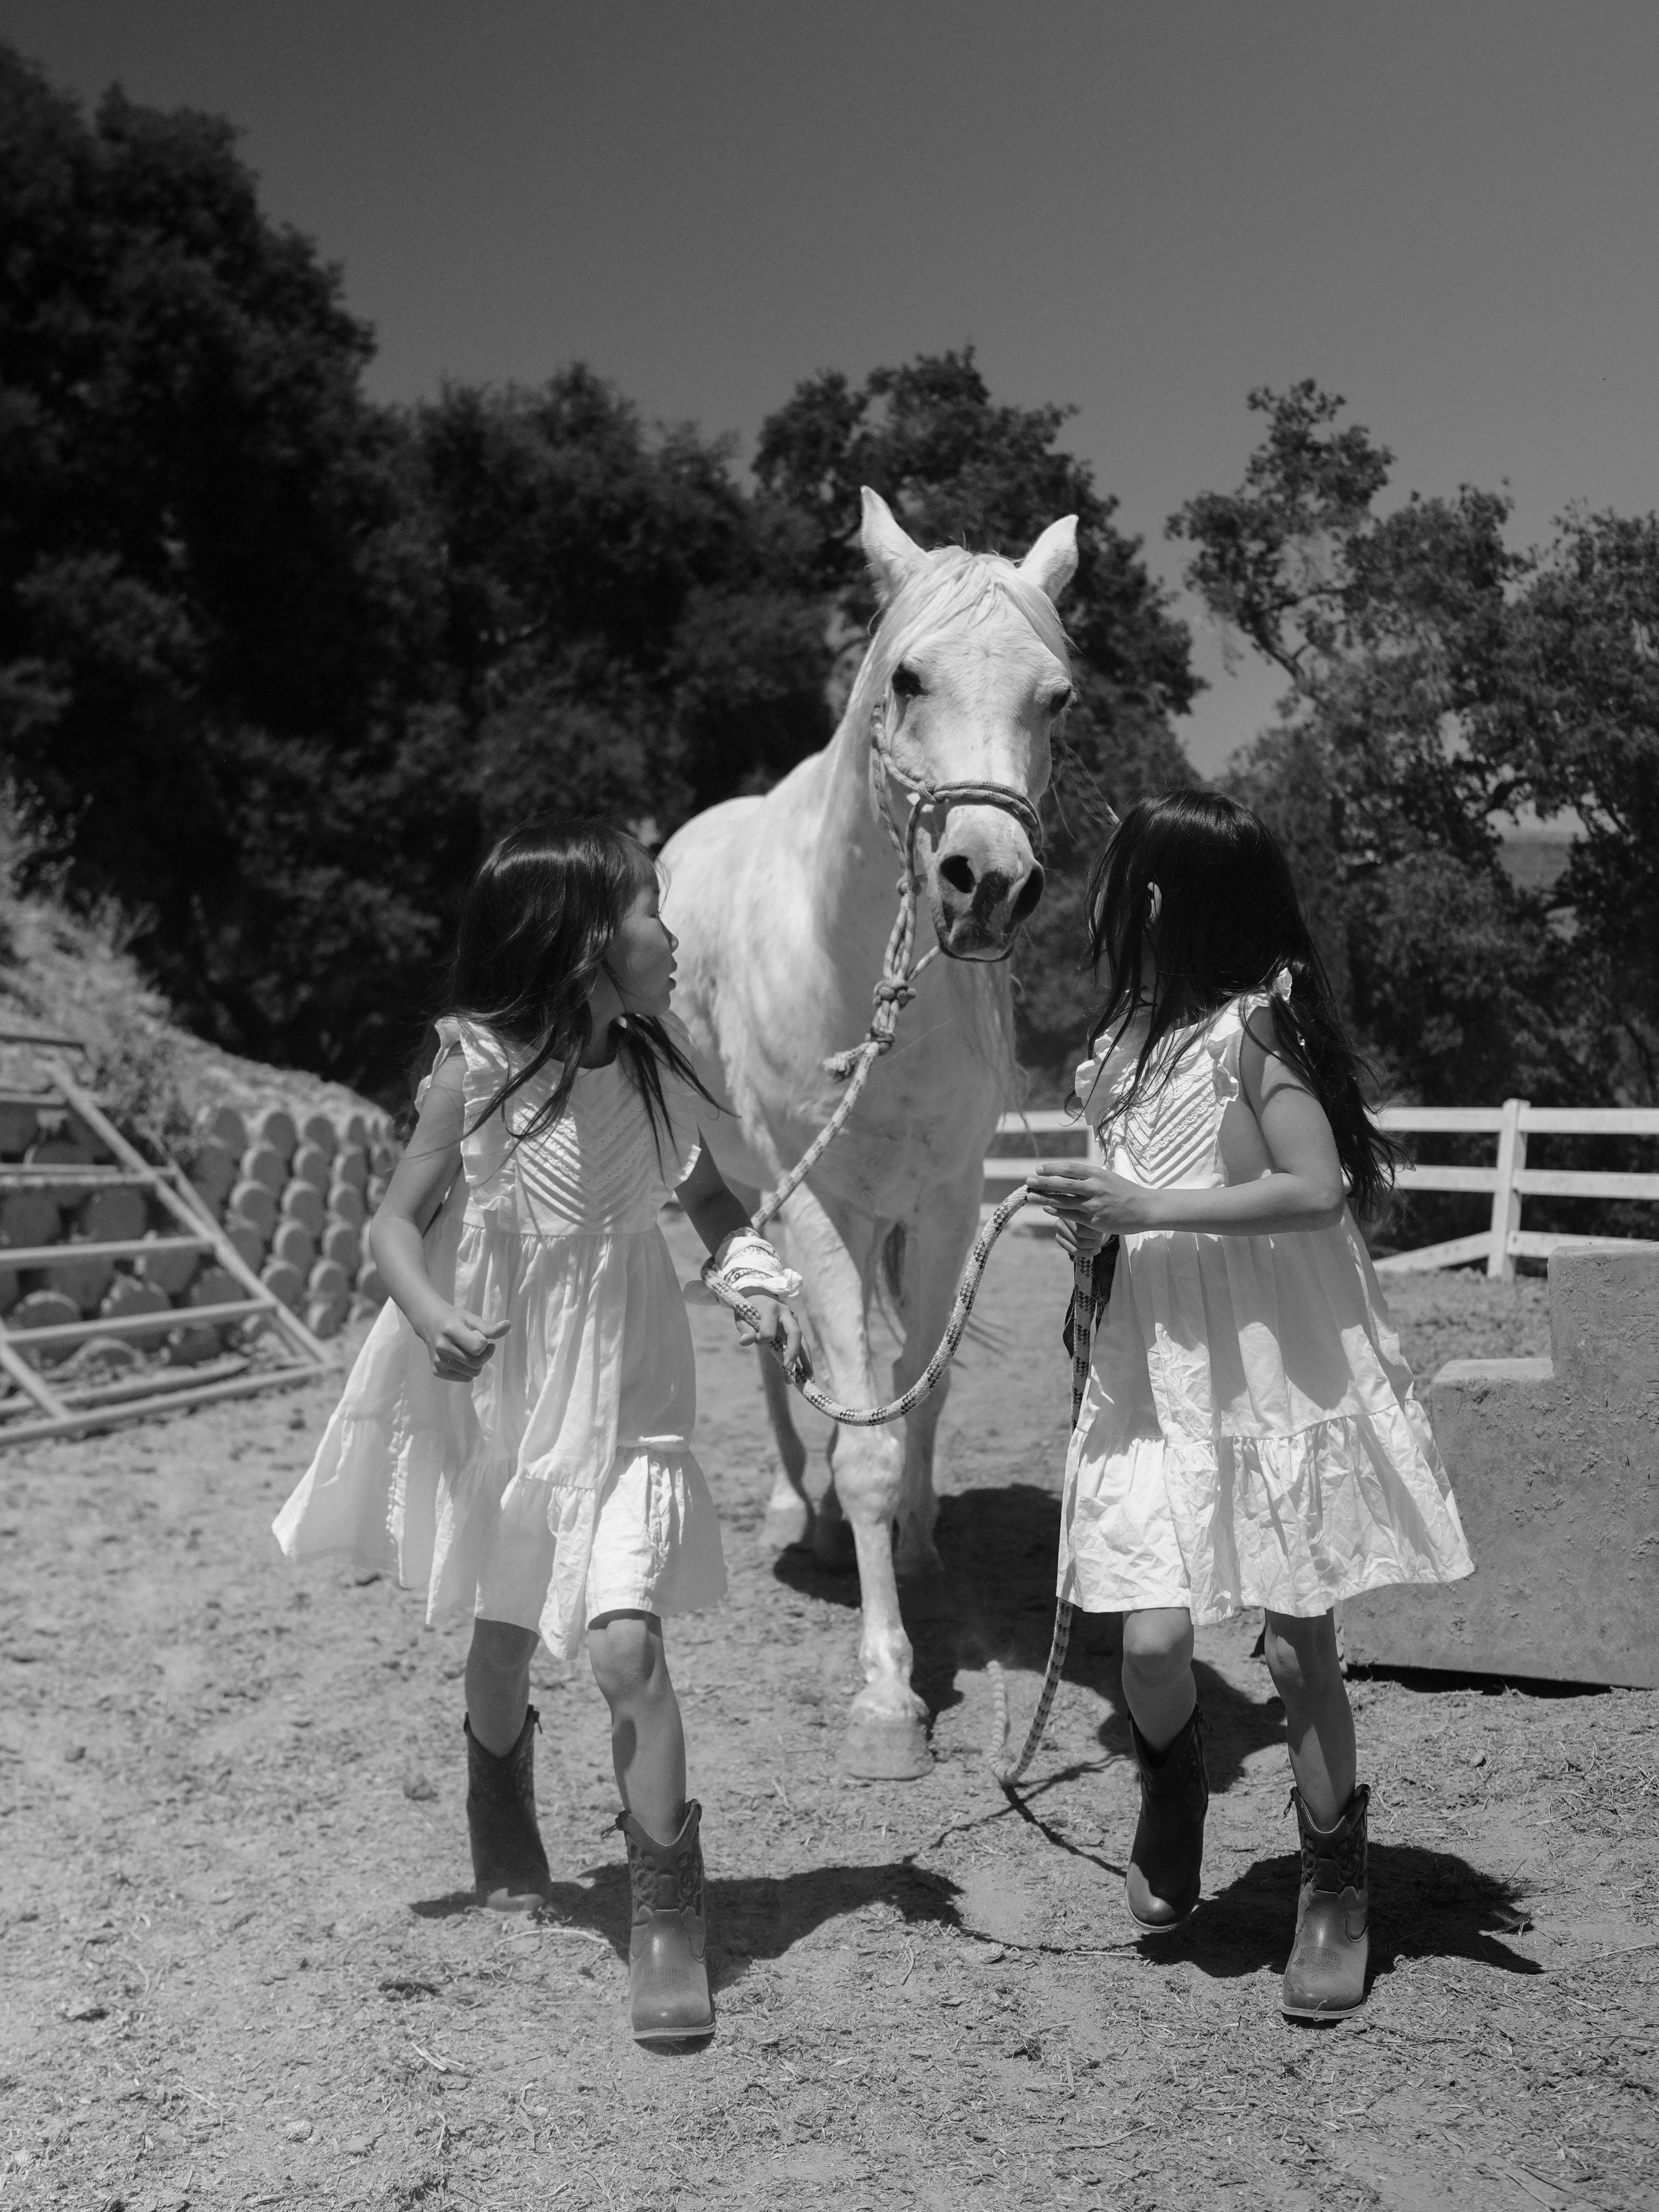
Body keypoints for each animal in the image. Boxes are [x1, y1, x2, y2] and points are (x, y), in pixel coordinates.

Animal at [661, 488, 1077, 1778]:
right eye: (907, 675)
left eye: (1058, 696)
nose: (987, 880)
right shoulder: (816, 1205)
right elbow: (864, 1446)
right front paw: (888, 1694)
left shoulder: (944, 1200)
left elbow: (920, 1396)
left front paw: (928, 1549)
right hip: (748, 1193)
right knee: (771, 1355)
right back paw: (797, 1514)